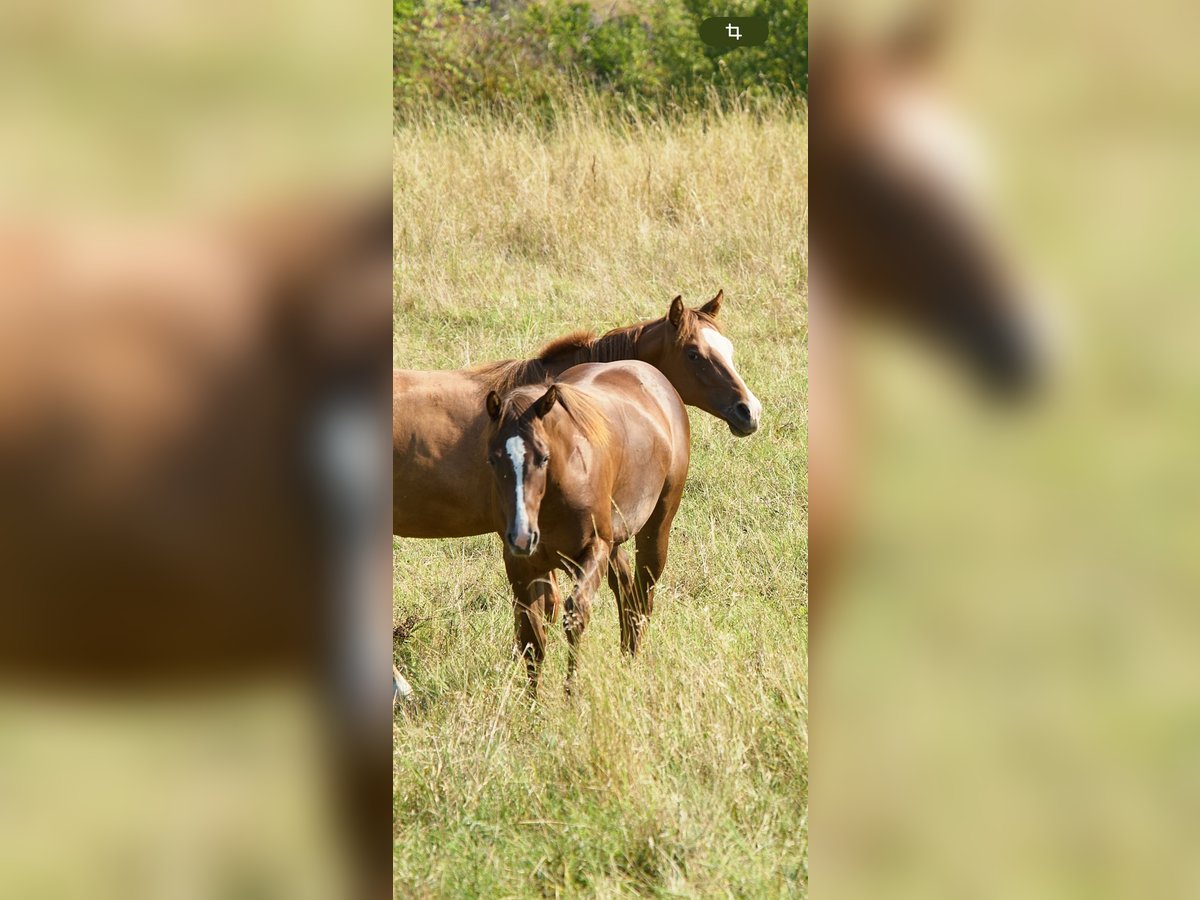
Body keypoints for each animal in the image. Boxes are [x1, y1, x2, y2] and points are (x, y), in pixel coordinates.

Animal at [483, 361, 691, 693]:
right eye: (493, 459)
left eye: (543, 457)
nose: (523, 536)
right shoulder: (521, 564)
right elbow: (531, 636)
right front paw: (532, 701)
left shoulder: (594, 548)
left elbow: (575, 615)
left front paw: (571, 692)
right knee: (626, 589)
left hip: (655, 530)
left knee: (642, 597)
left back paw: (632, 660)